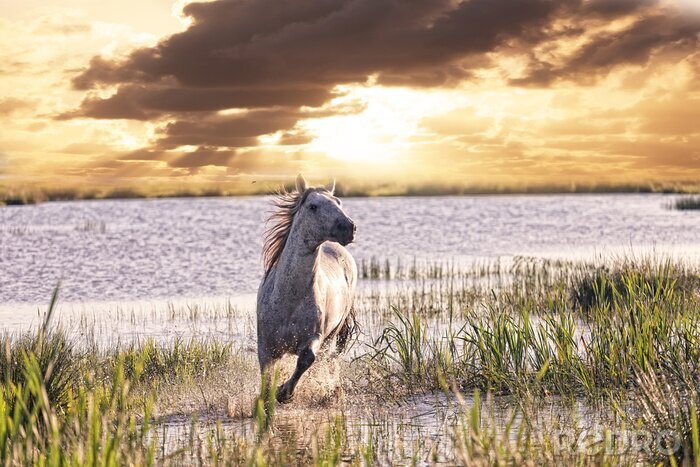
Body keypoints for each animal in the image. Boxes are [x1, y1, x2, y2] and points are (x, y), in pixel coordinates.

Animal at [257, 174, 357, 403]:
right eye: (313, 206)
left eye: (338, 202)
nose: (350, 227)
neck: (289, 300)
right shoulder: (266, 347)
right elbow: (266, 375)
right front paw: (267, 398)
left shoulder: (314, 337)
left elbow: (306, 359)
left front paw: (284, 392)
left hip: (332, 336)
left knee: (324, 361)